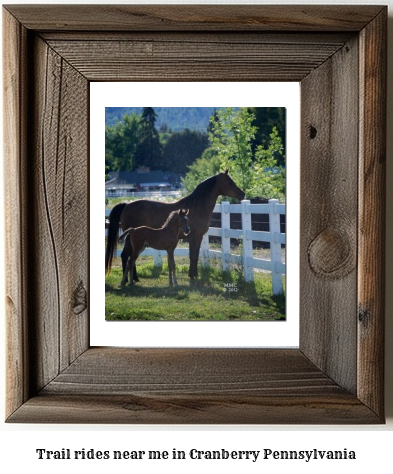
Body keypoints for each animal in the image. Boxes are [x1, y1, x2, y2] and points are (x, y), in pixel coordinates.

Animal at [105, 169, 243, 282]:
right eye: (230, 182)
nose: (242, 193)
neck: (196, 207)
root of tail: (126, 205)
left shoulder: (199, 237)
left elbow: (196, 255)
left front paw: (195, 275)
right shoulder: (194, 237)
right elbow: (193, 256)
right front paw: (192, 276)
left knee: (129, 257)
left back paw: (134, 279)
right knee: (126, 256)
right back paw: (128, 280)